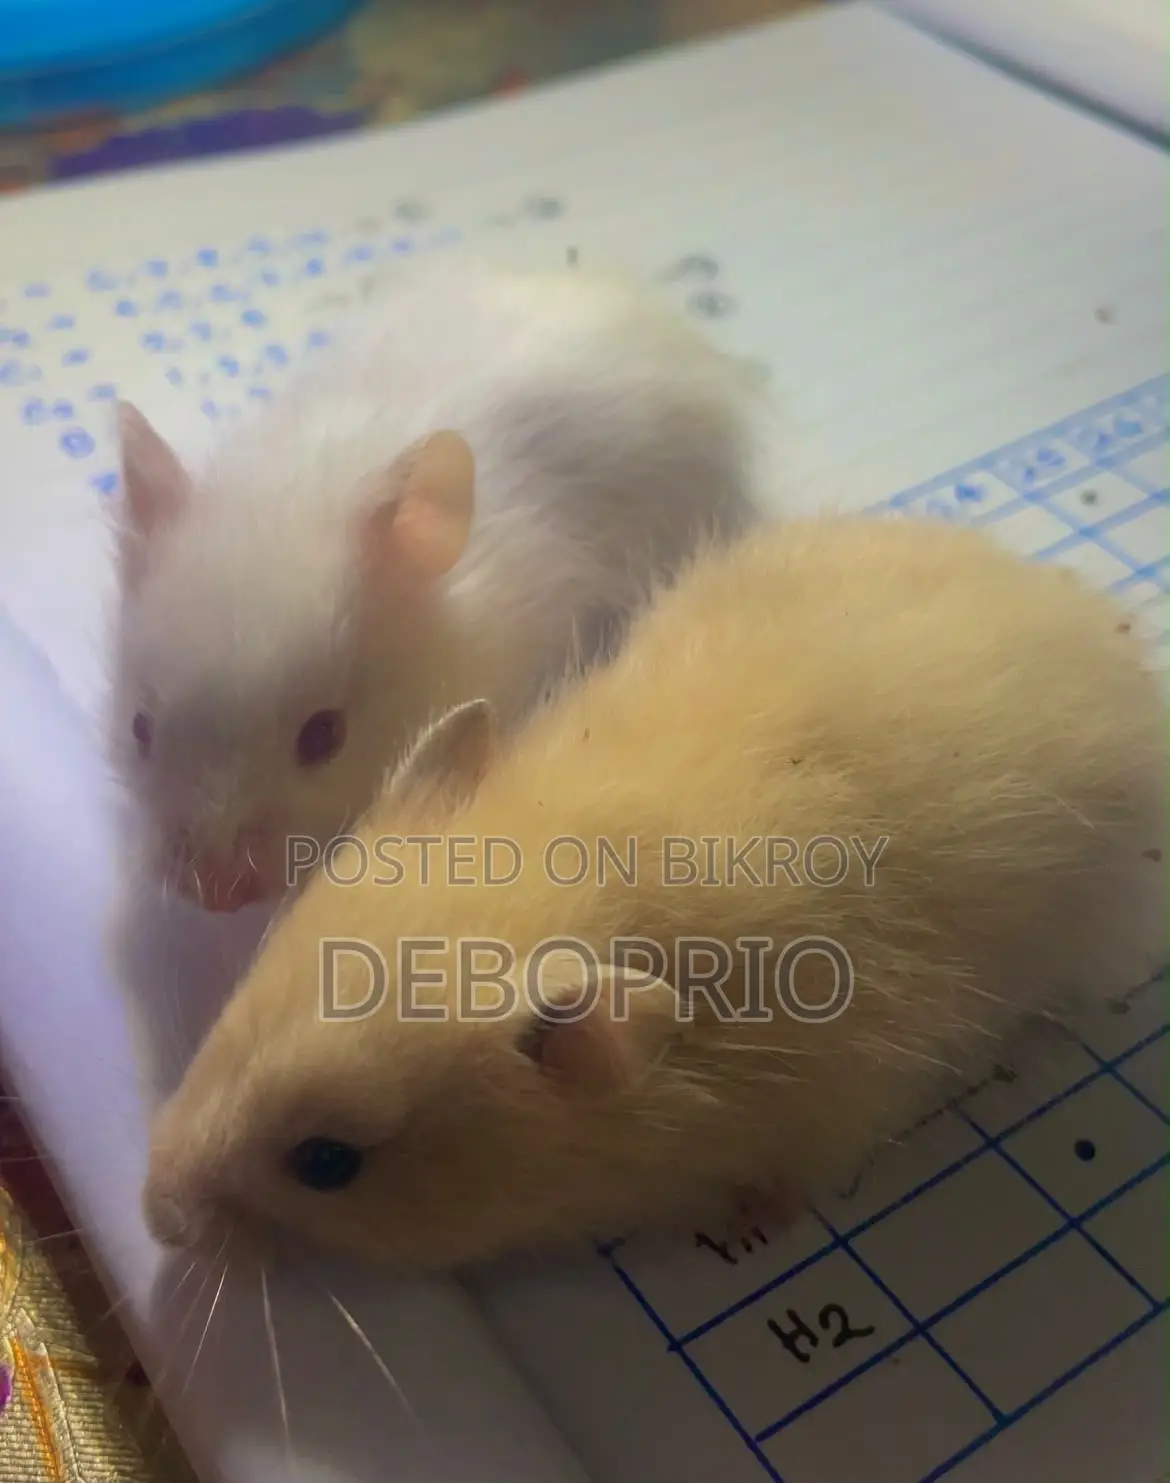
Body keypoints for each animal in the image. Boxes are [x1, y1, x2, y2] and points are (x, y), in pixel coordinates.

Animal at [141, 512, 1168, 1273]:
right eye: (239, 999)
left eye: (326, 1162)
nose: (153, 1214)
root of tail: (1099, 622)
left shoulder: (839, 1098)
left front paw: (754, 1226)